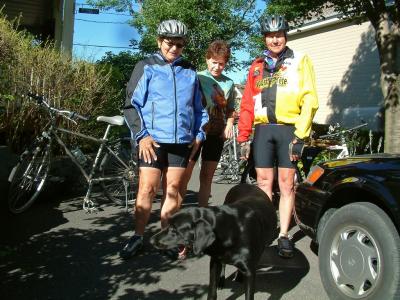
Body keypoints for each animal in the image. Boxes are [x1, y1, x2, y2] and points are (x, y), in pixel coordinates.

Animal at [150, 183, 278, 300]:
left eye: (174, 229)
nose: (151, 240)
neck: (230, 230)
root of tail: (245, 183)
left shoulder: (250, 272)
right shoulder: (215, 261)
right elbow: (212, 289)